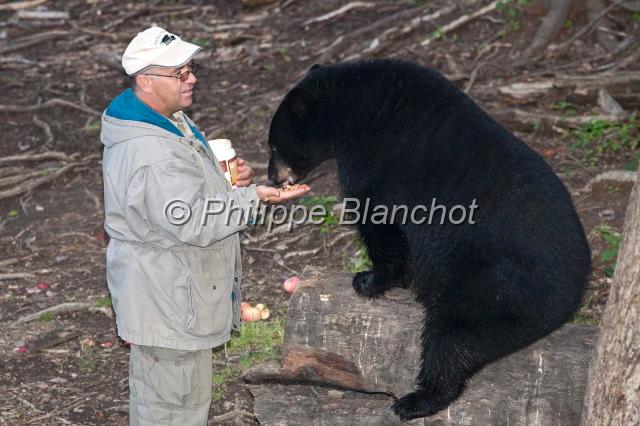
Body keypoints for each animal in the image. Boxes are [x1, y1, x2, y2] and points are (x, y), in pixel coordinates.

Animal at [266, 59, 591, 420]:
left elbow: (381, 224)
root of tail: (572, 294)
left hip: (492, 285)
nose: (272, 177)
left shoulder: (375, 159)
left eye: (274, 145)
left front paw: (368, 281)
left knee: (450, 335)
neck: (355, 107)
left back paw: (417, 399)